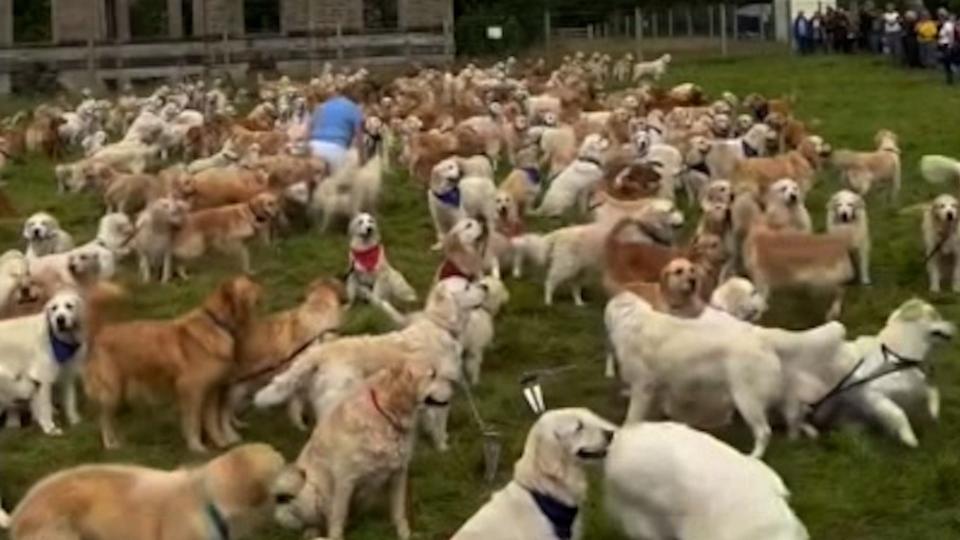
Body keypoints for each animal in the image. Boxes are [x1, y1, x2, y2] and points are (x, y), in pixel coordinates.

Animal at [83, 276, 260, 454]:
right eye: (249, 287)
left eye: (250, 283)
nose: (260, 285)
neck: (216, 322)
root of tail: (103, 331)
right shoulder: (190, 390)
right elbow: (193, 422)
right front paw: (196, 447)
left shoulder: (211, 391)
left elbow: (212, 423)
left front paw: (222, 443)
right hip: (112, 392)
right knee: (104, 420)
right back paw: (110, 445)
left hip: (119, 392)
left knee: (111, 419)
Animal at [270, 360, 450, 536]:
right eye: (432, 375)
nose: (452, 386)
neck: (385, 414)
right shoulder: (345, 481)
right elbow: (337, 519)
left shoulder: (399, 473)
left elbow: (399, 512)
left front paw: (404, 534)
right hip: (306, 489)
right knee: (313, 522)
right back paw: (312, 532)